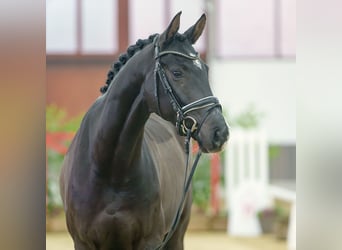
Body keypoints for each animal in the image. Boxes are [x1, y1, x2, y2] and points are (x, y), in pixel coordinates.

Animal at [60, 12, 228, 249]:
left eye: (206, 70)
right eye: (177, 72)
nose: (219, 132)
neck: (109, 167)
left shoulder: (150, 241)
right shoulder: (83, 242)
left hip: (176, 236)